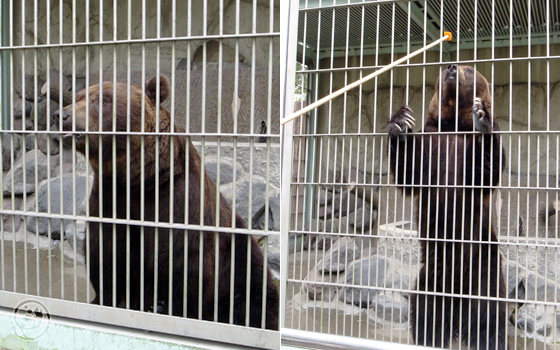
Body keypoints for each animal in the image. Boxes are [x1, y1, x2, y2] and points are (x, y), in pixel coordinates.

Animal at [54, 74, 278, 330]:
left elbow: (186, 262)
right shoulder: (111, 197)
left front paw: (166, 307)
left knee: (254, 299)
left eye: (102, 100)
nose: (62, 115)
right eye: (77, 98)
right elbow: (107, 252)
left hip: (243, 264)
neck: (140, 179)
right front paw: (106, 299)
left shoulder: (178, 200)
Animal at [388, 64, 510, 348]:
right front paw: (400, 122)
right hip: (432, 272)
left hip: (484, 264)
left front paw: (483, 119)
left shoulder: (467, 152)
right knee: (426, 309)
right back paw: (430, 337)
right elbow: (409, 172)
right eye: (447, 67)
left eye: (470, 69)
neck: (454, 125)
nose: (452, 68)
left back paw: (488, 340)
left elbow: (485, 172)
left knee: (488, 313)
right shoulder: (432, 145)